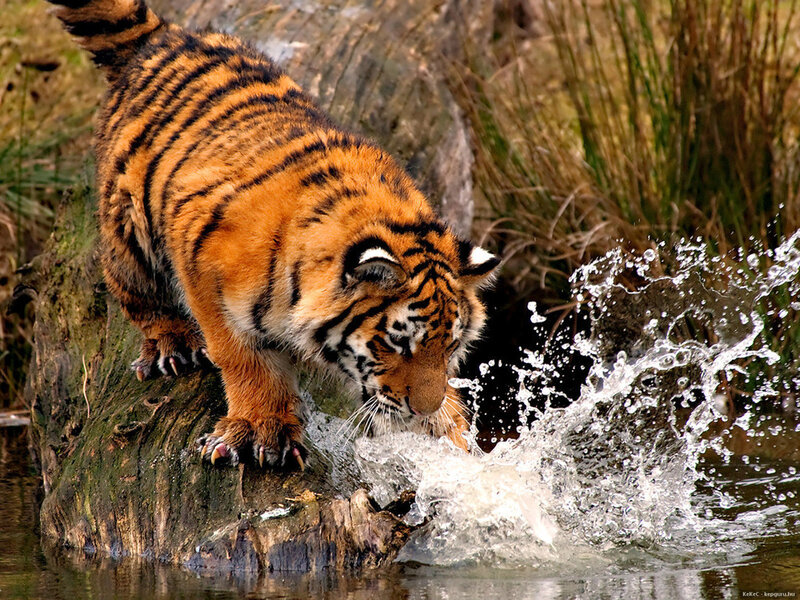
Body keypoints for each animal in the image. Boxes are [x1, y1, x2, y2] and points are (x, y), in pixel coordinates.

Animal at [48, 0, 499, 469]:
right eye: (398, 343)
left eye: (450, 346)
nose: (423, 408)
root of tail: (166, 34)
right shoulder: (204, 267)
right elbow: (244, 359)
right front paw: (260, 429)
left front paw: (454, 436)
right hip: (129, 227)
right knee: (134, 289)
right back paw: (172, 345)